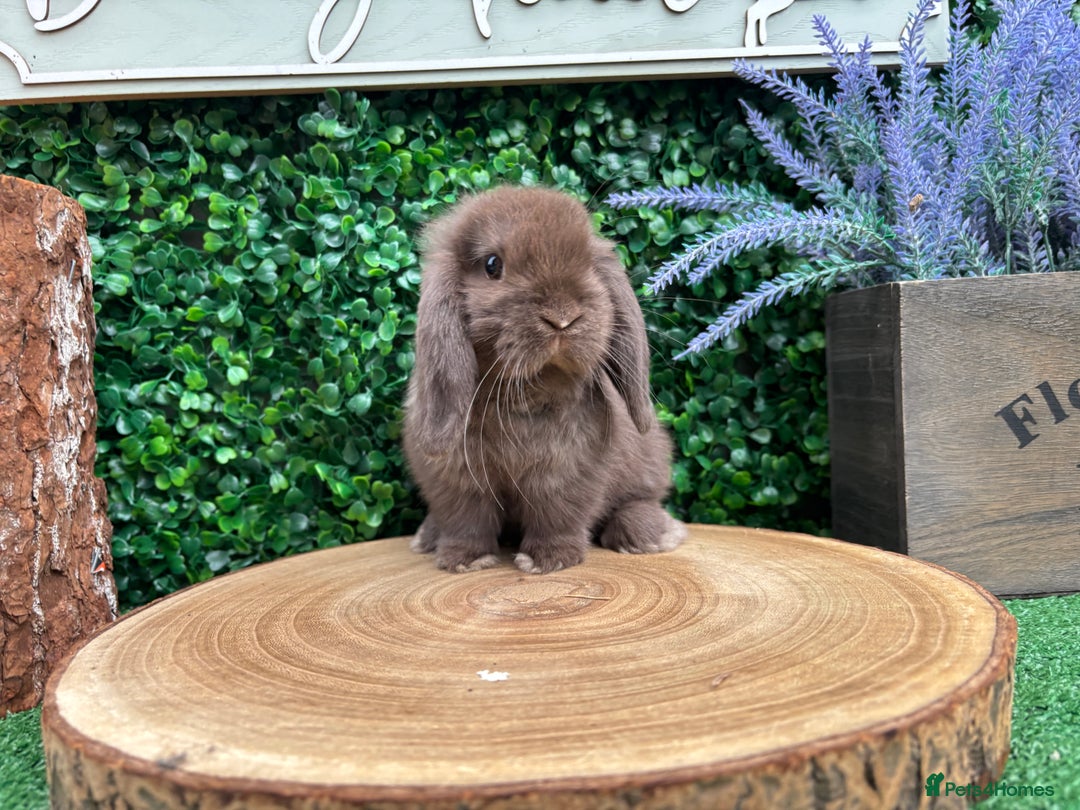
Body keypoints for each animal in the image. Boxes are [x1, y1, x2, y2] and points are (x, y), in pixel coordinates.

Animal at [402, 186, 685, 574]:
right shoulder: (456, 479)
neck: (525, 391)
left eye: (588, 264)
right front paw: (465, 560)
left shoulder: (566, 475)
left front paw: (547, 560)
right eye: (492, 265)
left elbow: (556, 515)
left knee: (638, 502)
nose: (562, 317)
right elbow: (466, 519)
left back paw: (651, 535)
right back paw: (426, 537)